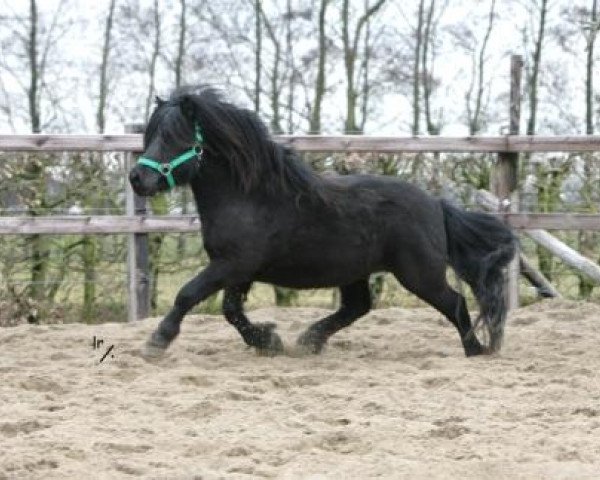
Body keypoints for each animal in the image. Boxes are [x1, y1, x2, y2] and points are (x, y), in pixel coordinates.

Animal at [130, 85, 516, 356]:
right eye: (151, 135)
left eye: (173, 136)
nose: (137, 178)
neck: (248, 197)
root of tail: (436, 204)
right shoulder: (238, 270)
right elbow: (230, 311)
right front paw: (268, 341)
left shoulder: (232, 265)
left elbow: (187, 294)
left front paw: (156, 343)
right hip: (356, 271)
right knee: (357, 307)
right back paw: (309, 341)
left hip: (419, 274)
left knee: (455, 303)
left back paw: (475, 350)